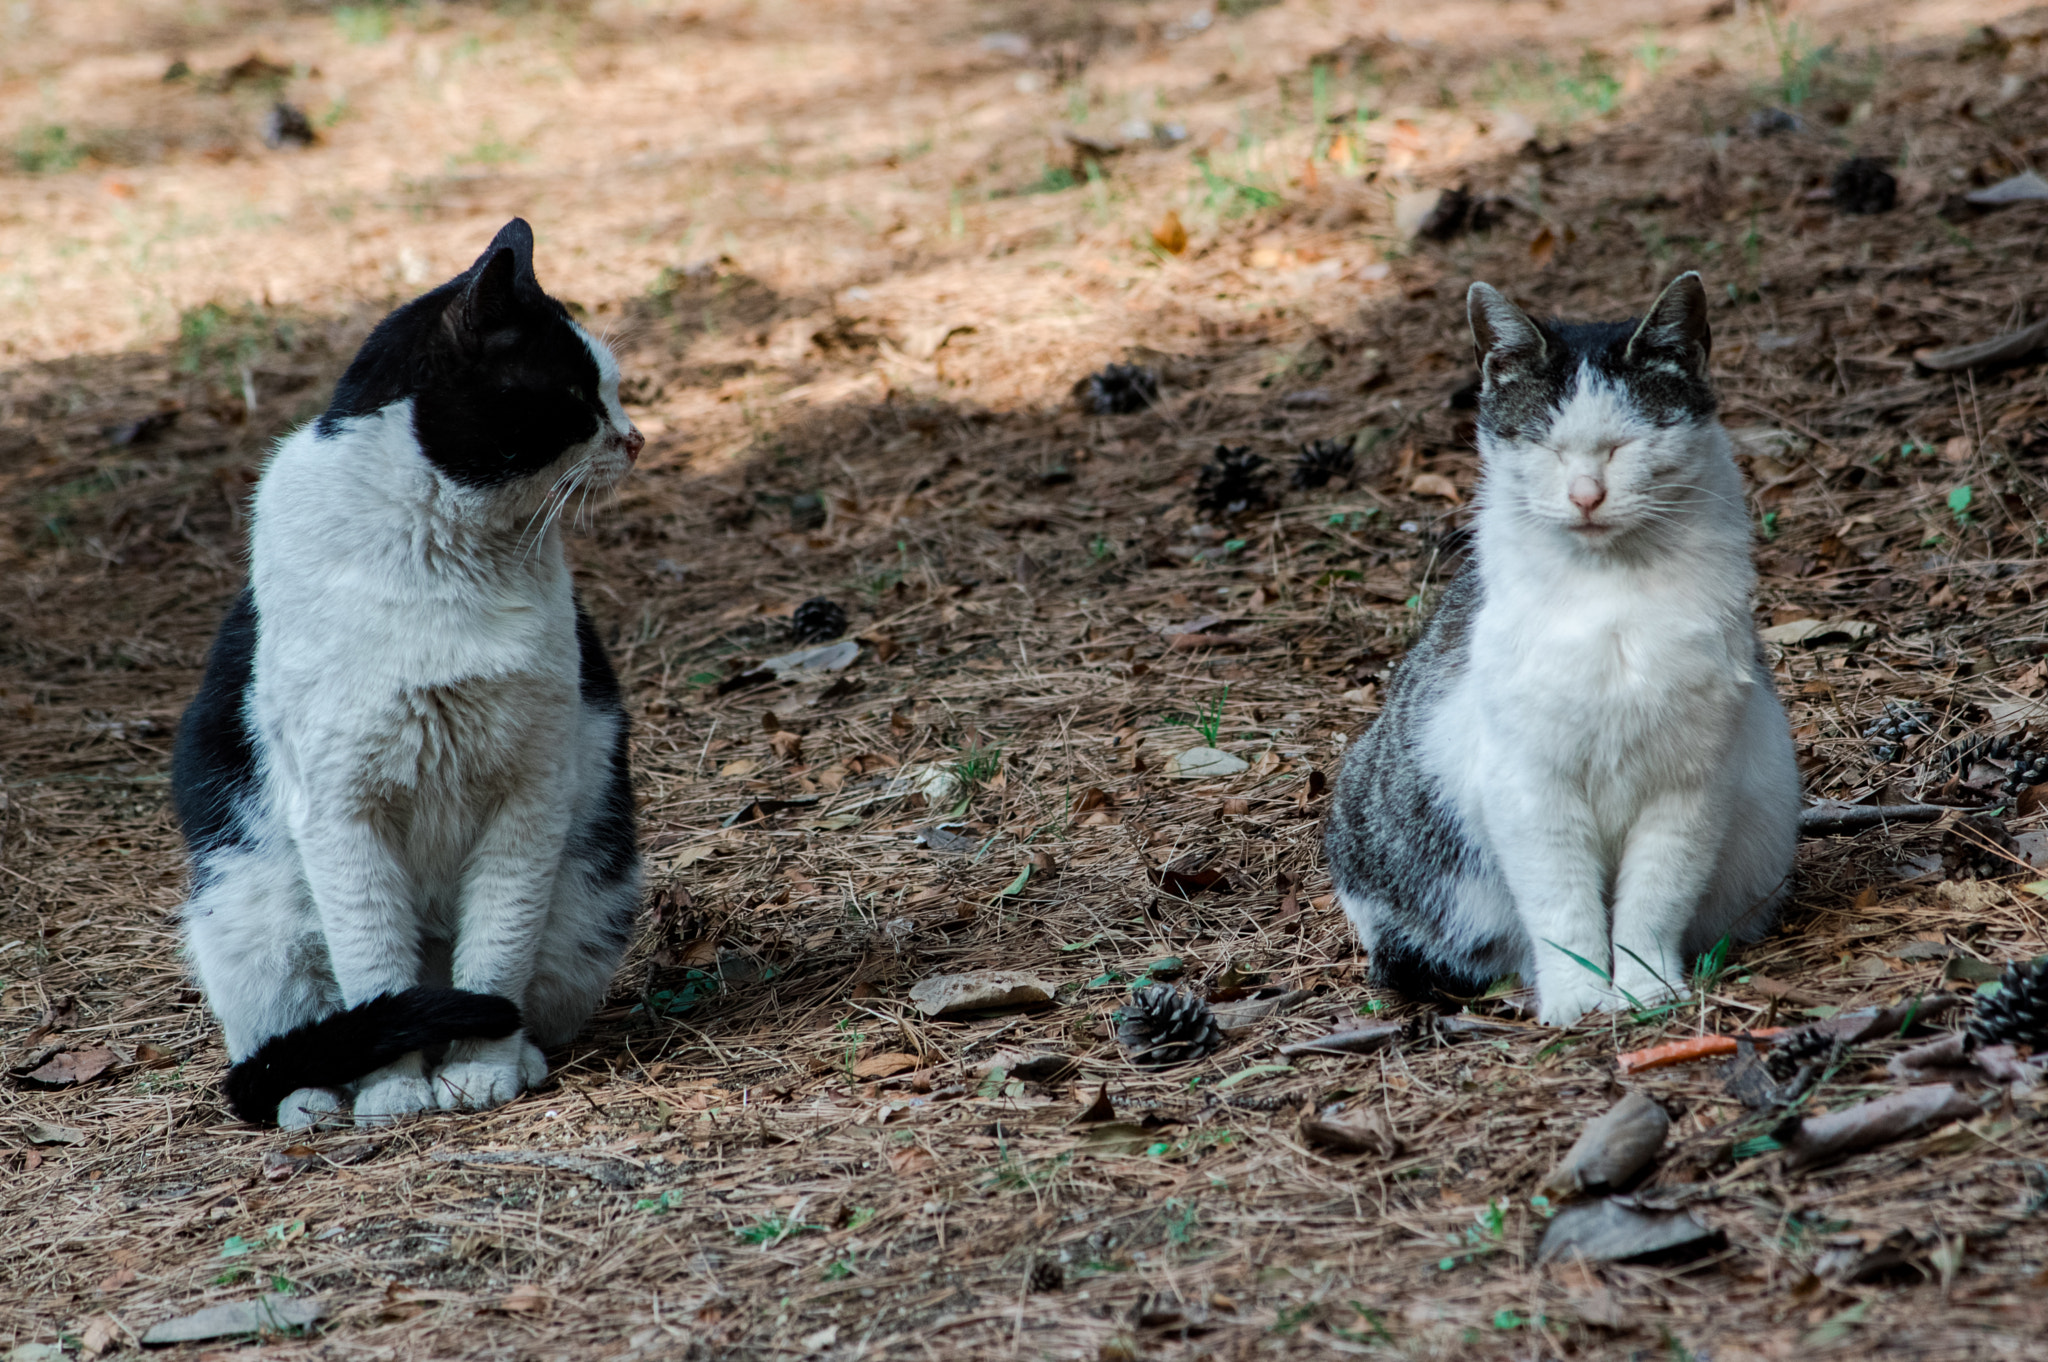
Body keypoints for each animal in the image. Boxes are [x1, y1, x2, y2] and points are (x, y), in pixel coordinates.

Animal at [175, 215, 643, 1122]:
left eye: (612, 393)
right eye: (575, 399)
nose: (636, 439)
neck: (448, 559)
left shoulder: (532, 790)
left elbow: (495, 955)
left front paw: (483, 1070)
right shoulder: (340, 811)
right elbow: (374, 967)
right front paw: (395, 1094)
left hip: (588, 895)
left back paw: (521, 1059)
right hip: (253, 915)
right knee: (304, 1031)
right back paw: (316, 1100)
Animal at [1327, 274, 1794, 1019]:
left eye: (1626, 445)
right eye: (1545, 446)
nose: (1585, 495)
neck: (1609, 597)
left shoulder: (1691, 785)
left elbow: (1654, 900)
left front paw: (1644, 989)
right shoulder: (1530, 787)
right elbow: (1562, 910)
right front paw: (1579, 999)